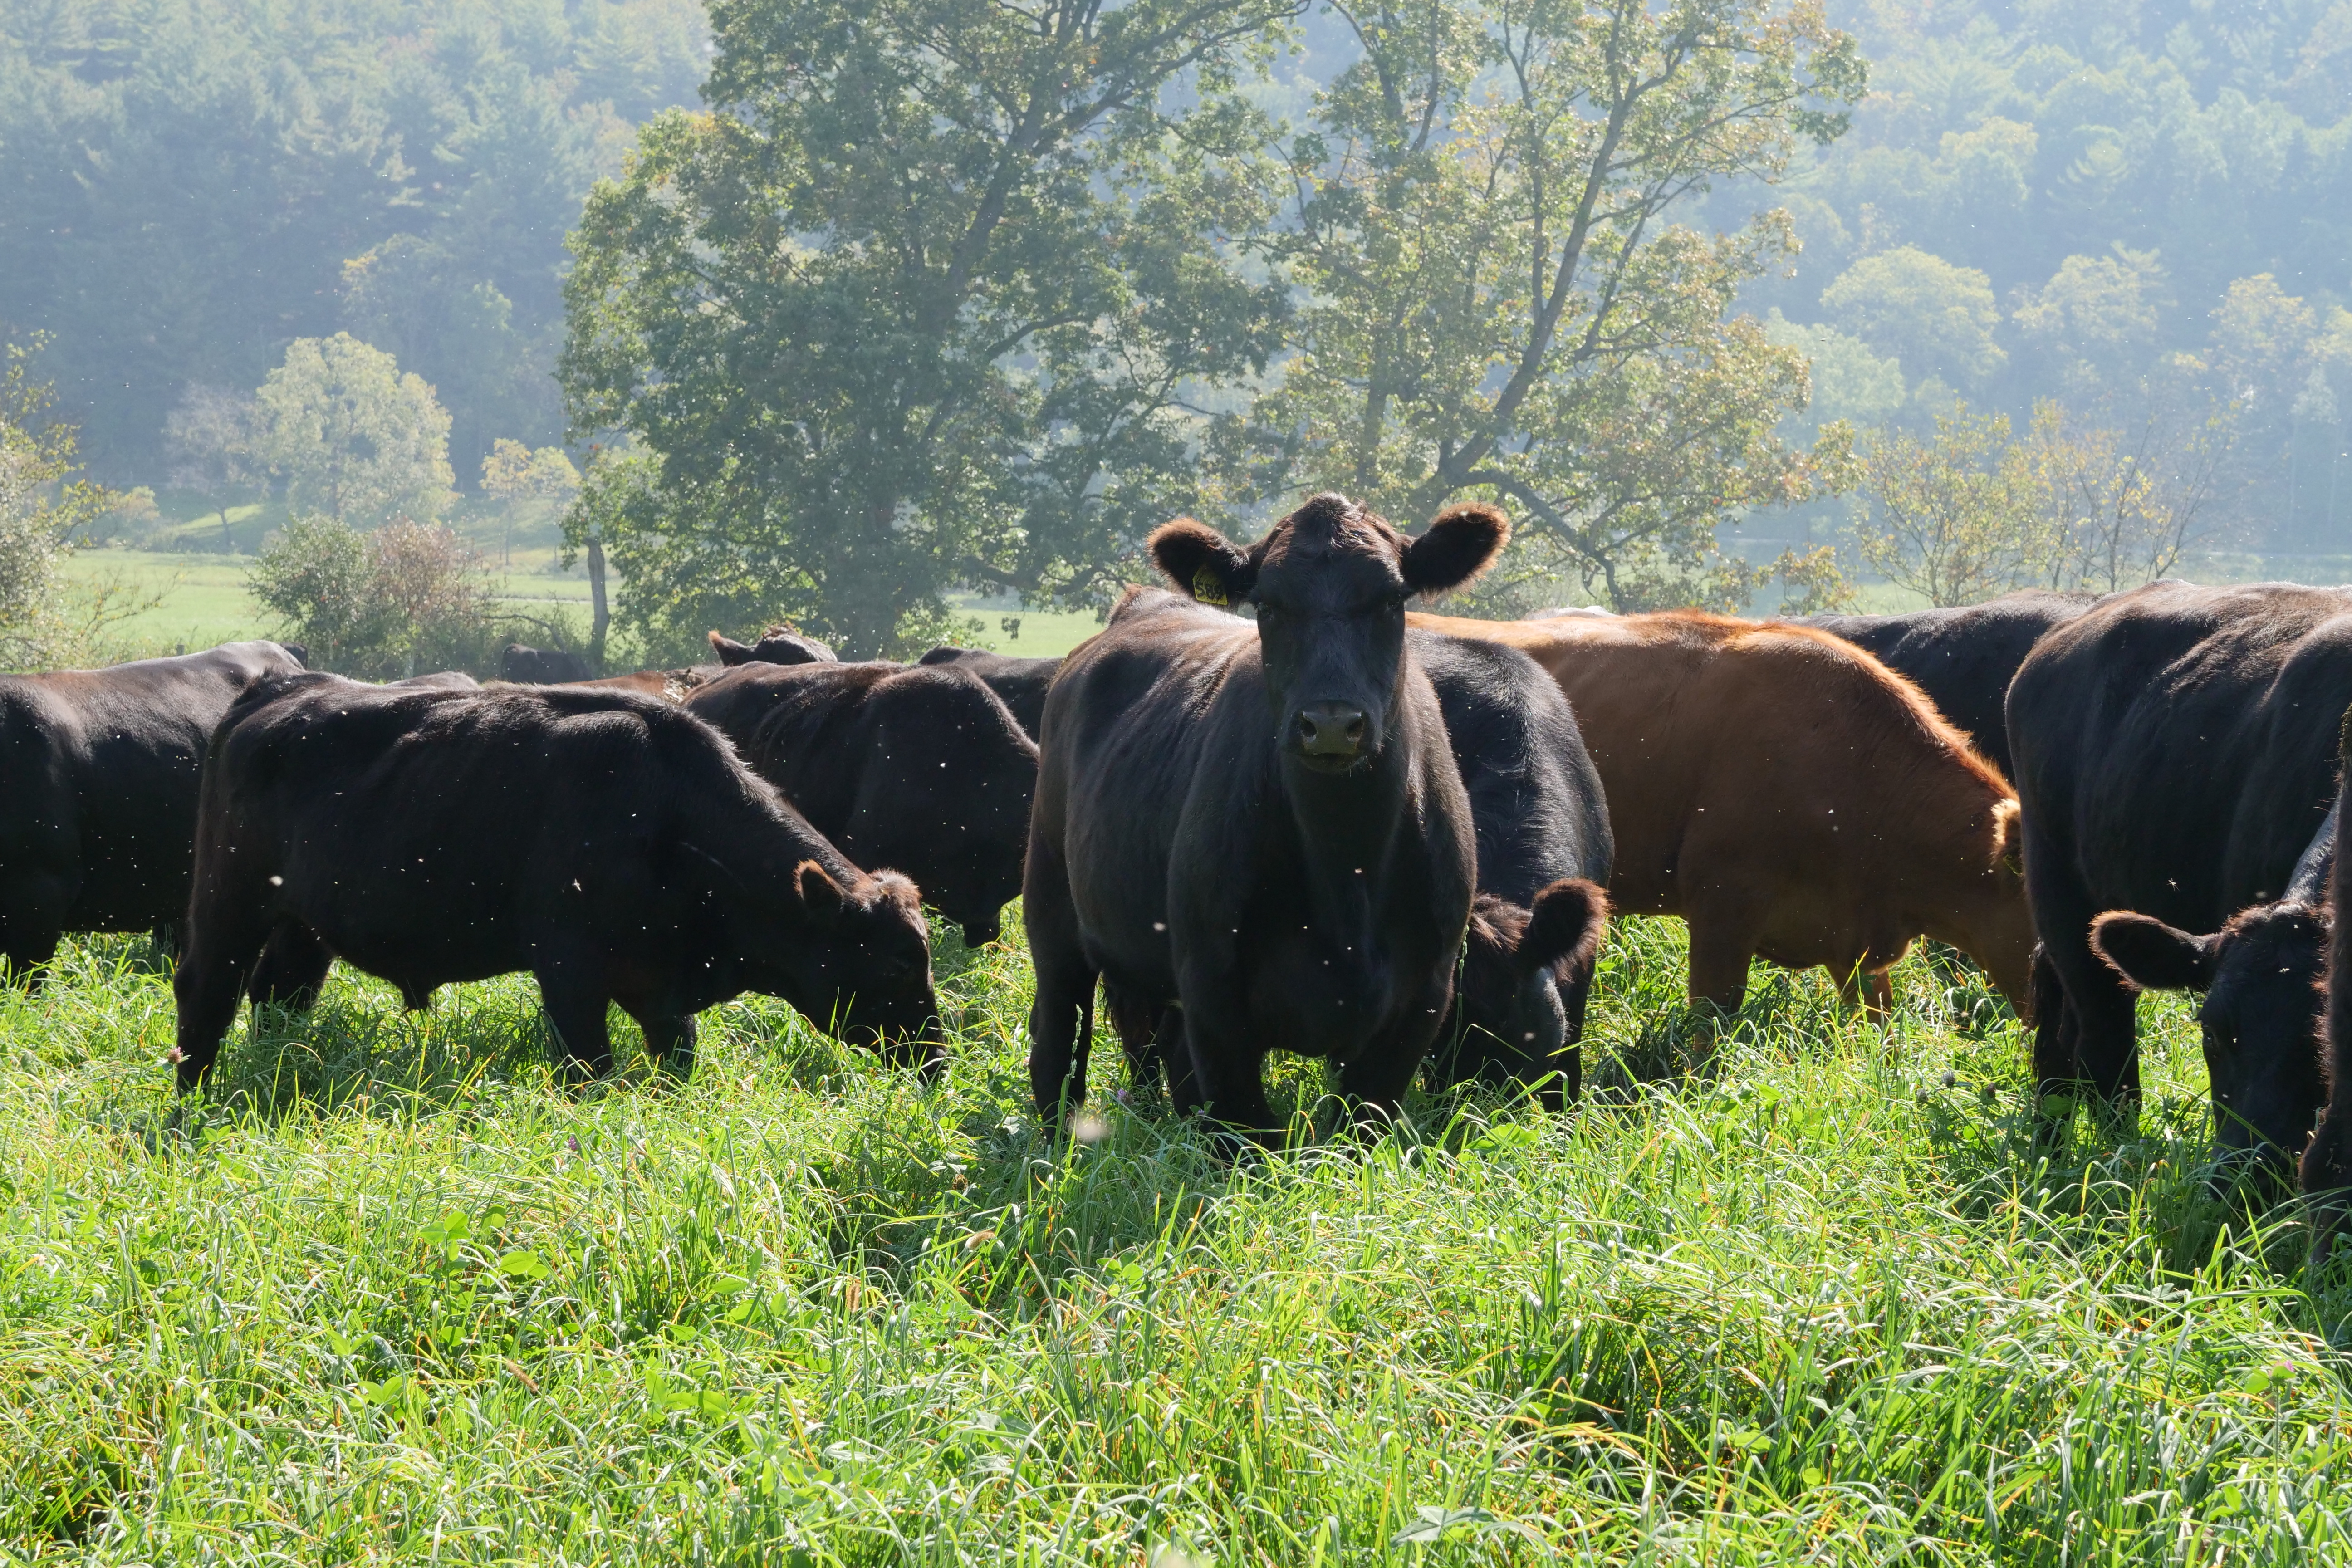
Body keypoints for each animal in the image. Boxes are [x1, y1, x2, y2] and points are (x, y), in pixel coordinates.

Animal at [169, 674, 943, 1091]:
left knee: (278, 993)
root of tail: (276, 689)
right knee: (206, 990)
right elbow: (590, 1070)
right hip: (227, 901)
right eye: (899, 963)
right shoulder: (570, 974)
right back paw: (194, 1096)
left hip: (303, 925)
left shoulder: (660, 991)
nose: (937, 1058)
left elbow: (677, 1063)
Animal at [1024, 493, 1508, 1145]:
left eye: (1390, 599)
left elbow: (1357, 1133)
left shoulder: (1422, 997)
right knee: (1056, 1038)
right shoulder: (1213, 991)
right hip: (1052, 909)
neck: (1344, 867)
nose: (1330, 723)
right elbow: (1247, 1136)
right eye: (1270, 606)